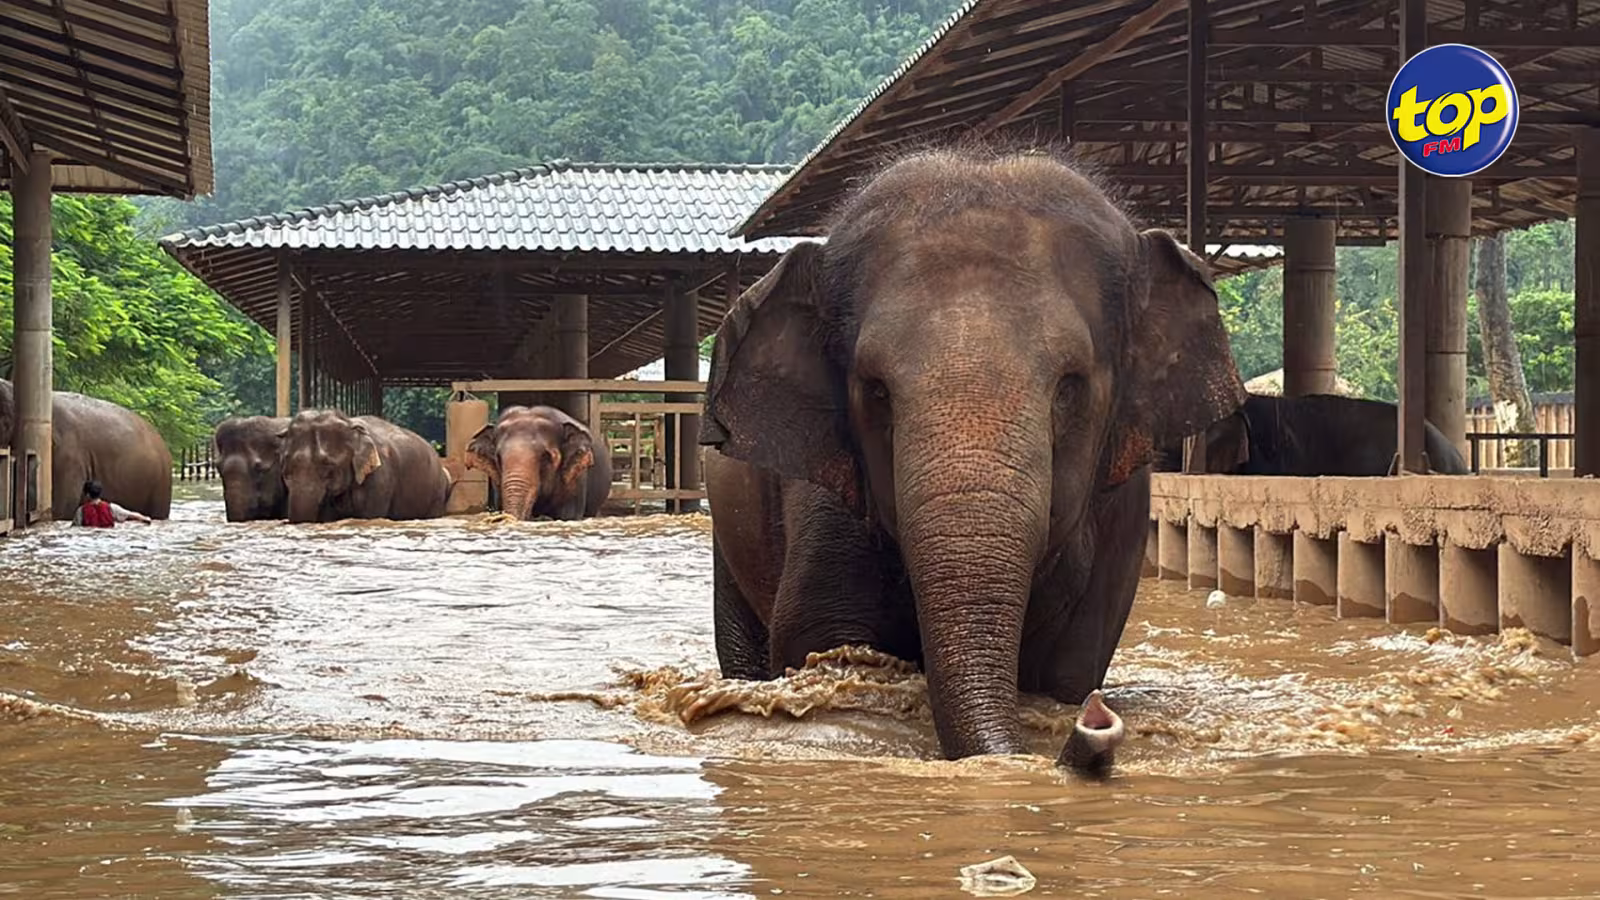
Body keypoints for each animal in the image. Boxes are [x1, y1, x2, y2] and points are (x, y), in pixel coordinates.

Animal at [278, 409, 450, 523]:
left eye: (327, 465)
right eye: (287, 469)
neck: (348, 422)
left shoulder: (380, 478)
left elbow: (370, 515)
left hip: (437, 493)